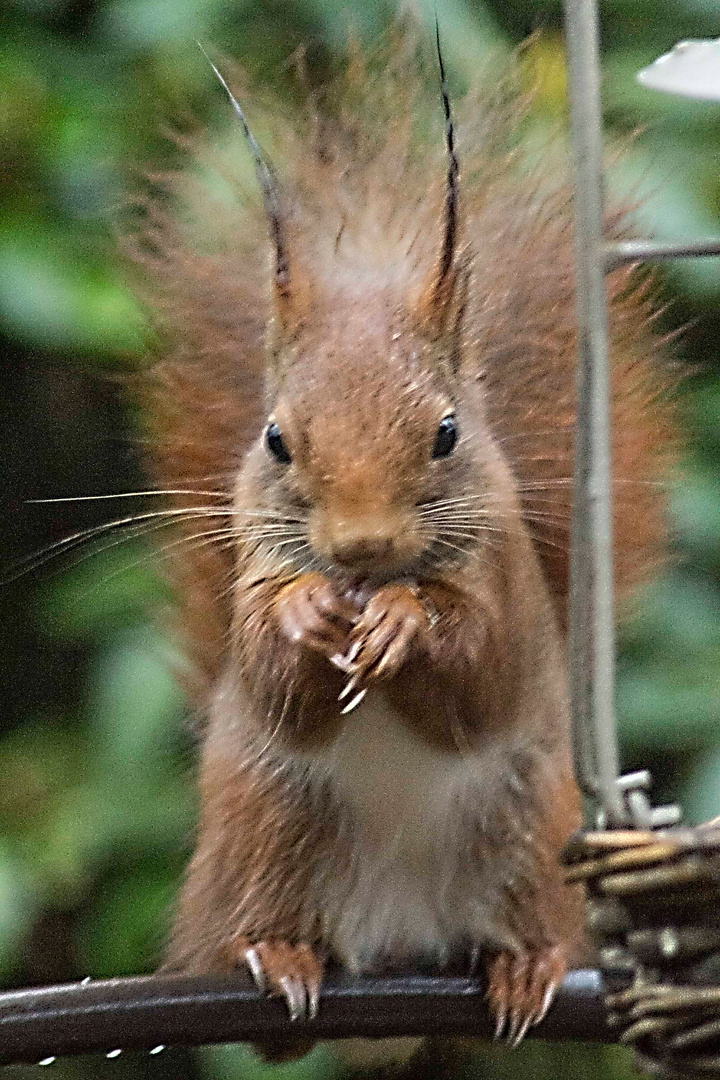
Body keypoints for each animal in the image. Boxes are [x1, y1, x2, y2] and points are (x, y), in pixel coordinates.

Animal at [127, 25, 669, 1062]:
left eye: (447, 433)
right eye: (276, 439)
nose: (362, 547)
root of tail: (395, 949)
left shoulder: (505, 584)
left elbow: (481, 675)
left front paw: (405, 623)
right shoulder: (255, 569)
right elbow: (274, 678)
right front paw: (307, 613)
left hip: (526, 836)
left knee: (519, 921)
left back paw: (523, 970)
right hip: (267, 827)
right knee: (270, 970)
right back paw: (281, 958)